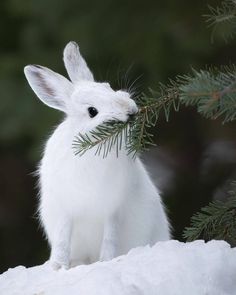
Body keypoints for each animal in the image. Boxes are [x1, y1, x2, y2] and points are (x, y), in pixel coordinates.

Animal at [24, 41, 171, 270]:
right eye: (92, 111)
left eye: (108, 87)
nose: (130, 110)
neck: (92, 150)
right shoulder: (66, 207)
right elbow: (63, 238)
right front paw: (58, 267)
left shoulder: (113, 209)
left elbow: (110, 238)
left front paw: (106, 262)